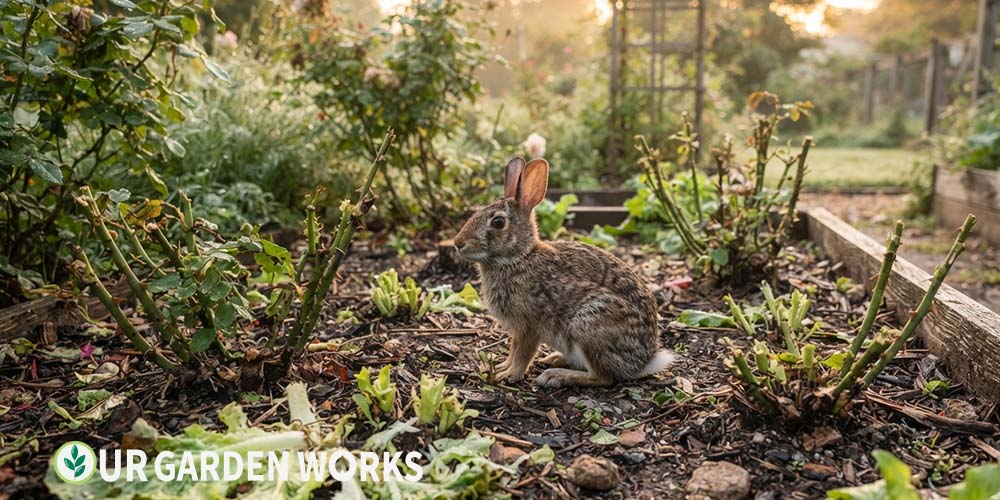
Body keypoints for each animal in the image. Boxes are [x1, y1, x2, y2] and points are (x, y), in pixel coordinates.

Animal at [453, 156, 676, 387]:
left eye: (498, 222)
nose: (458, 243)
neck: (519, 257)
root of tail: (643, 362)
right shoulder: (518, 329)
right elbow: (513, 349)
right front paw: (500, 367)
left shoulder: (530, 326)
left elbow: (522, 353)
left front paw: (509, 375)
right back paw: (554, 359)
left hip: (588, 325)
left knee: (603, 377)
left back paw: (555, 376)